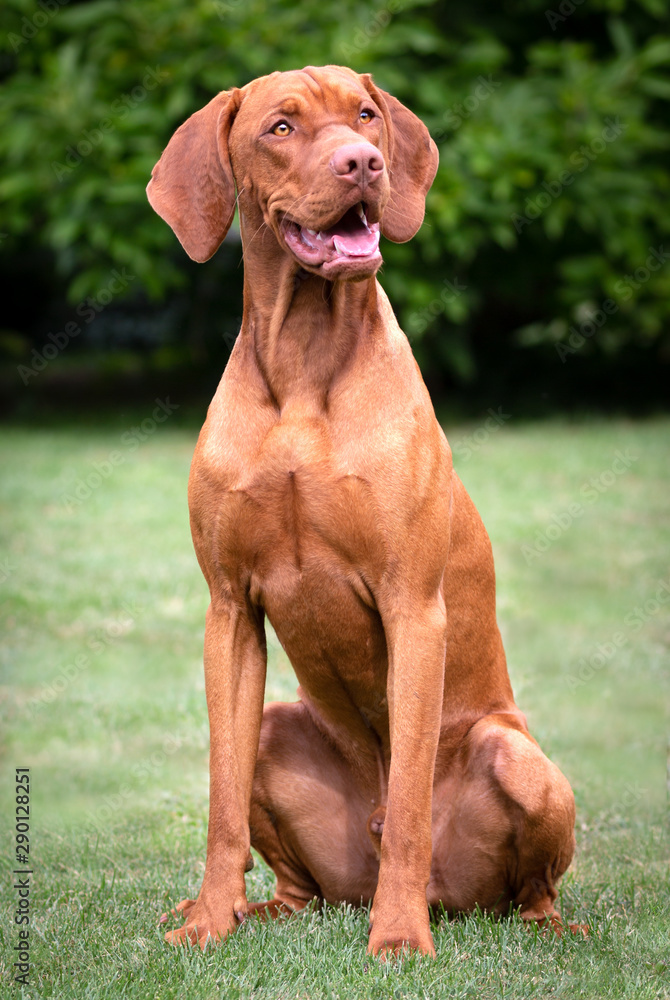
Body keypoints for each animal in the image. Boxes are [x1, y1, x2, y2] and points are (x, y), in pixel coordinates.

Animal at [147, 66, 576, 956]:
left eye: (367, 115)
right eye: (280, 127)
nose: (363, 163)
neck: (304, 363)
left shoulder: (414, 608)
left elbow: (410, 801)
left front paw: (400, 940)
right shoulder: (228, 610)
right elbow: (219, 805)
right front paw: (208, 920)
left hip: (515, 758)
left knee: (527, 888)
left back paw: (536, 924)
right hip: (279, 731)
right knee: (298, 881)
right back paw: (254, 908)